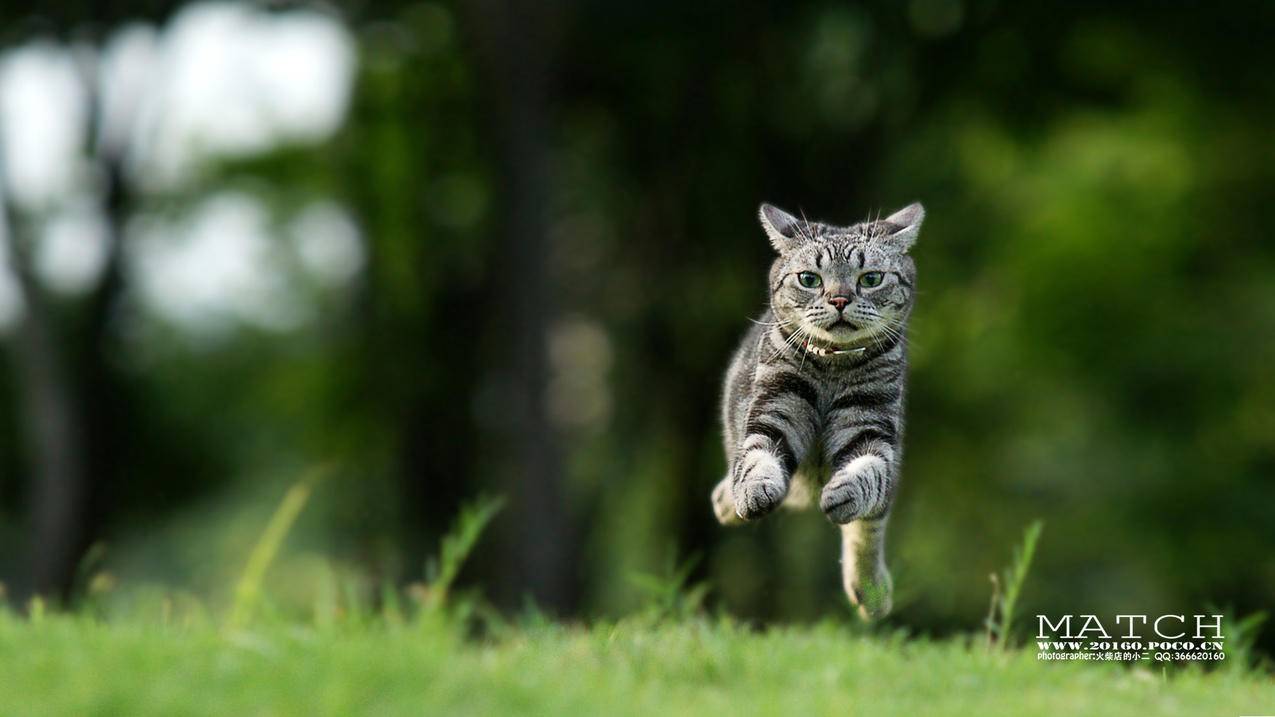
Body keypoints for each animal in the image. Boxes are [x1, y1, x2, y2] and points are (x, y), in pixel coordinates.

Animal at [708, 199, 928, 614]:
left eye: (871, 279)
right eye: (809, 279)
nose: (840, 300)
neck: (832, 369)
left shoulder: (870, 425)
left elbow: (868, 473)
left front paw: (847, 491)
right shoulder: (774, 409)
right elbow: (757, 457)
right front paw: (753, 489)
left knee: (869, 528)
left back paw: (871, 591)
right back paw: (727, 500)